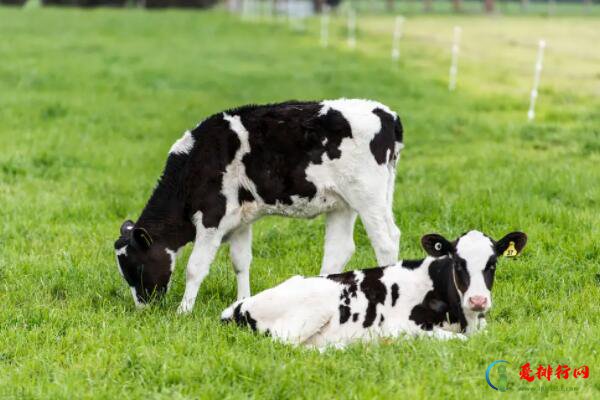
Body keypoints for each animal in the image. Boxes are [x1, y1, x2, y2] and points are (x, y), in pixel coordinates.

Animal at [113, 98, 404, 314]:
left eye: (136, 267)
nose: (143, 307)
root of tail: (387, 114)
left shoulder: (211, 217)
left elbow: (195, 268)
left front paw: (183, 311)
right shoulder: (240, 220)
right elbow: (240, 262)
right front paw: (241, 301)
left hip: (368, 195)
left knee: (386, 241)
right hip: (344, 202)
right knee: (340, 250)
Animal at [223, 230, 528, 348]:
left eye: (492, 263)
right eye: (458, 262)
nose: (478, 300)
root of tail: (237, 306)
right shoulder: (403, 326)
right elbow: (457, 340)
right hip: (310, 312)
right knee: (287, 346)